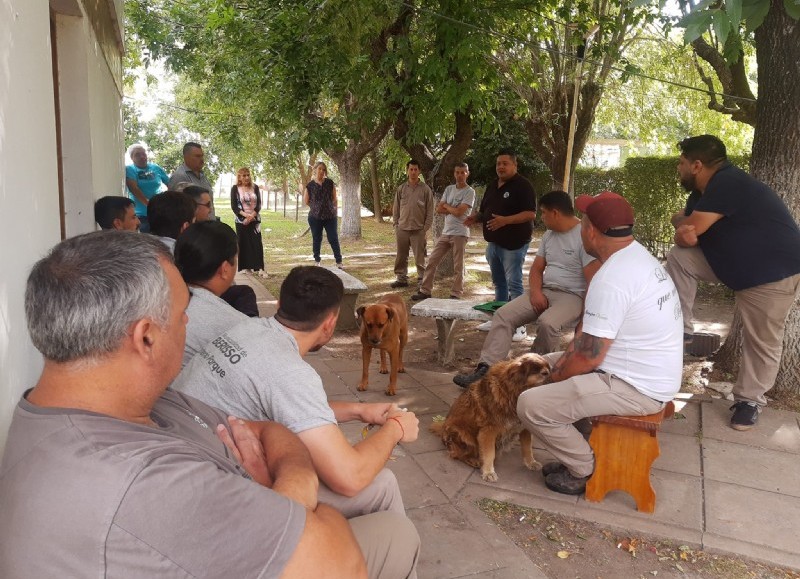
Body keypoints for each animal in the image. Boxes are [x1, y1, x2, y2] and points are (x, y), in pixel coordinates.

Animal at [432, 354, 552, 484]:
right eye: (544, 373)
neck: (512, 393)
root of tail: (443, 429)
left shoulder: (524, 427)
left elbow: (527, 447)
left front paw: (531, 462)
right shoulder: (488, 432)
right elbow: (489, 453)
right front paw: (488, 472)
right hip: (463, 434)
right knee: (457, 454)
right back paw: (474, 461)